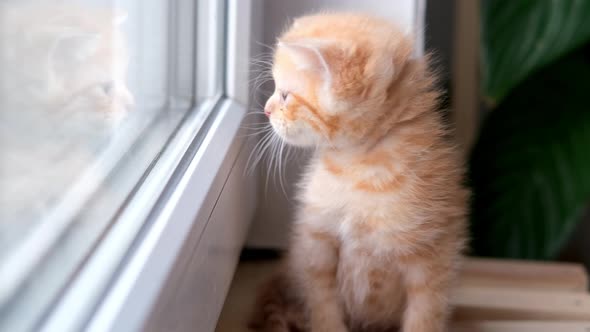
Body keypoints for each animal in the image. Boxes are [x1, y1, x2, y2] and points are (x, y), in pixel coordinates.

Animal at [251, 13, 472, 332]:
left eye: (284, 95)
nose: (266, 110)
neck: (360, 170)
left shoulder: (434, 255)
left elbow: (425, 313)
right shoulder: (316, 242)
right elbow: (322, 302)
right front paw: (327, 325)